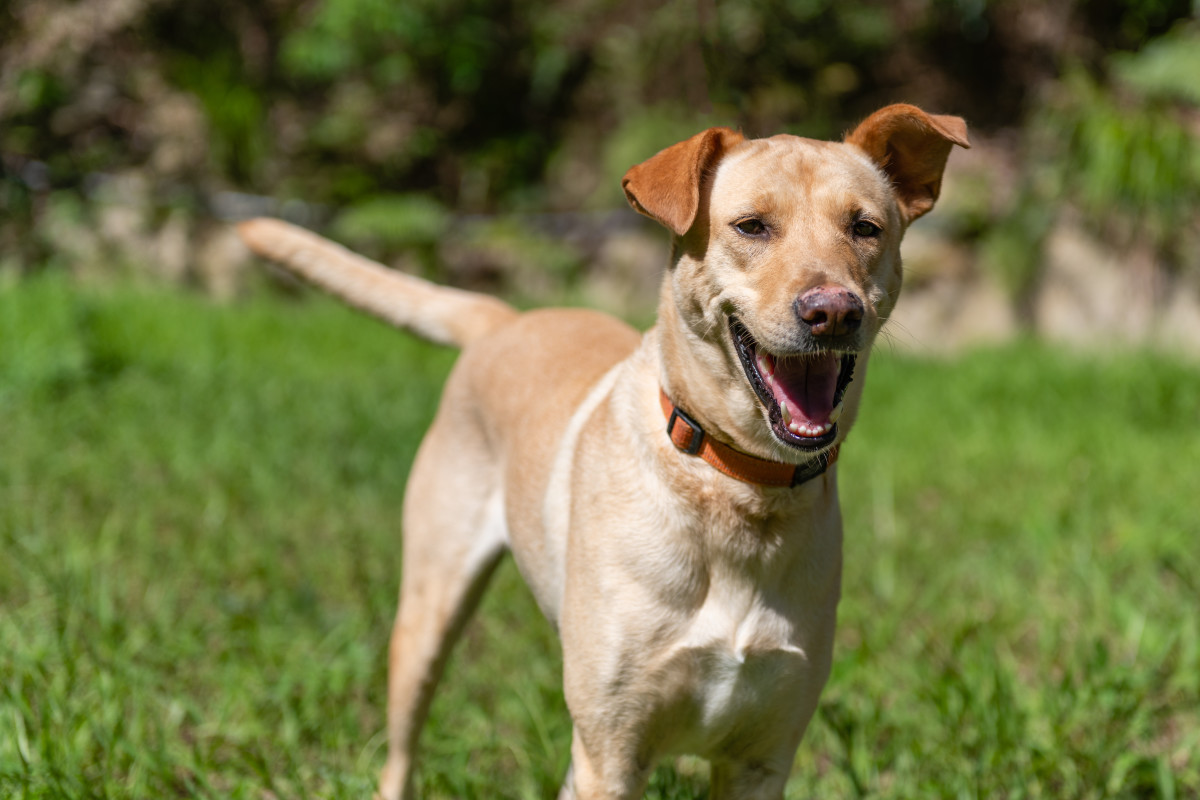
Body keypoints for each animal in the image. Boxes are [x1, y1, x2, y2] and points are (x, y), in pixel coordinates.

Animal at [236, 103, 964, 796]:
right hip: (429, 613)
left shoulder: (761, 758)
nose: (833, 311)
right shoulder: (612, 750)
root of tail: (505, 320)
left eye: (865, 228)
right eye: (752, 226)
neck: (735, 485)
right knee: (402, 748)